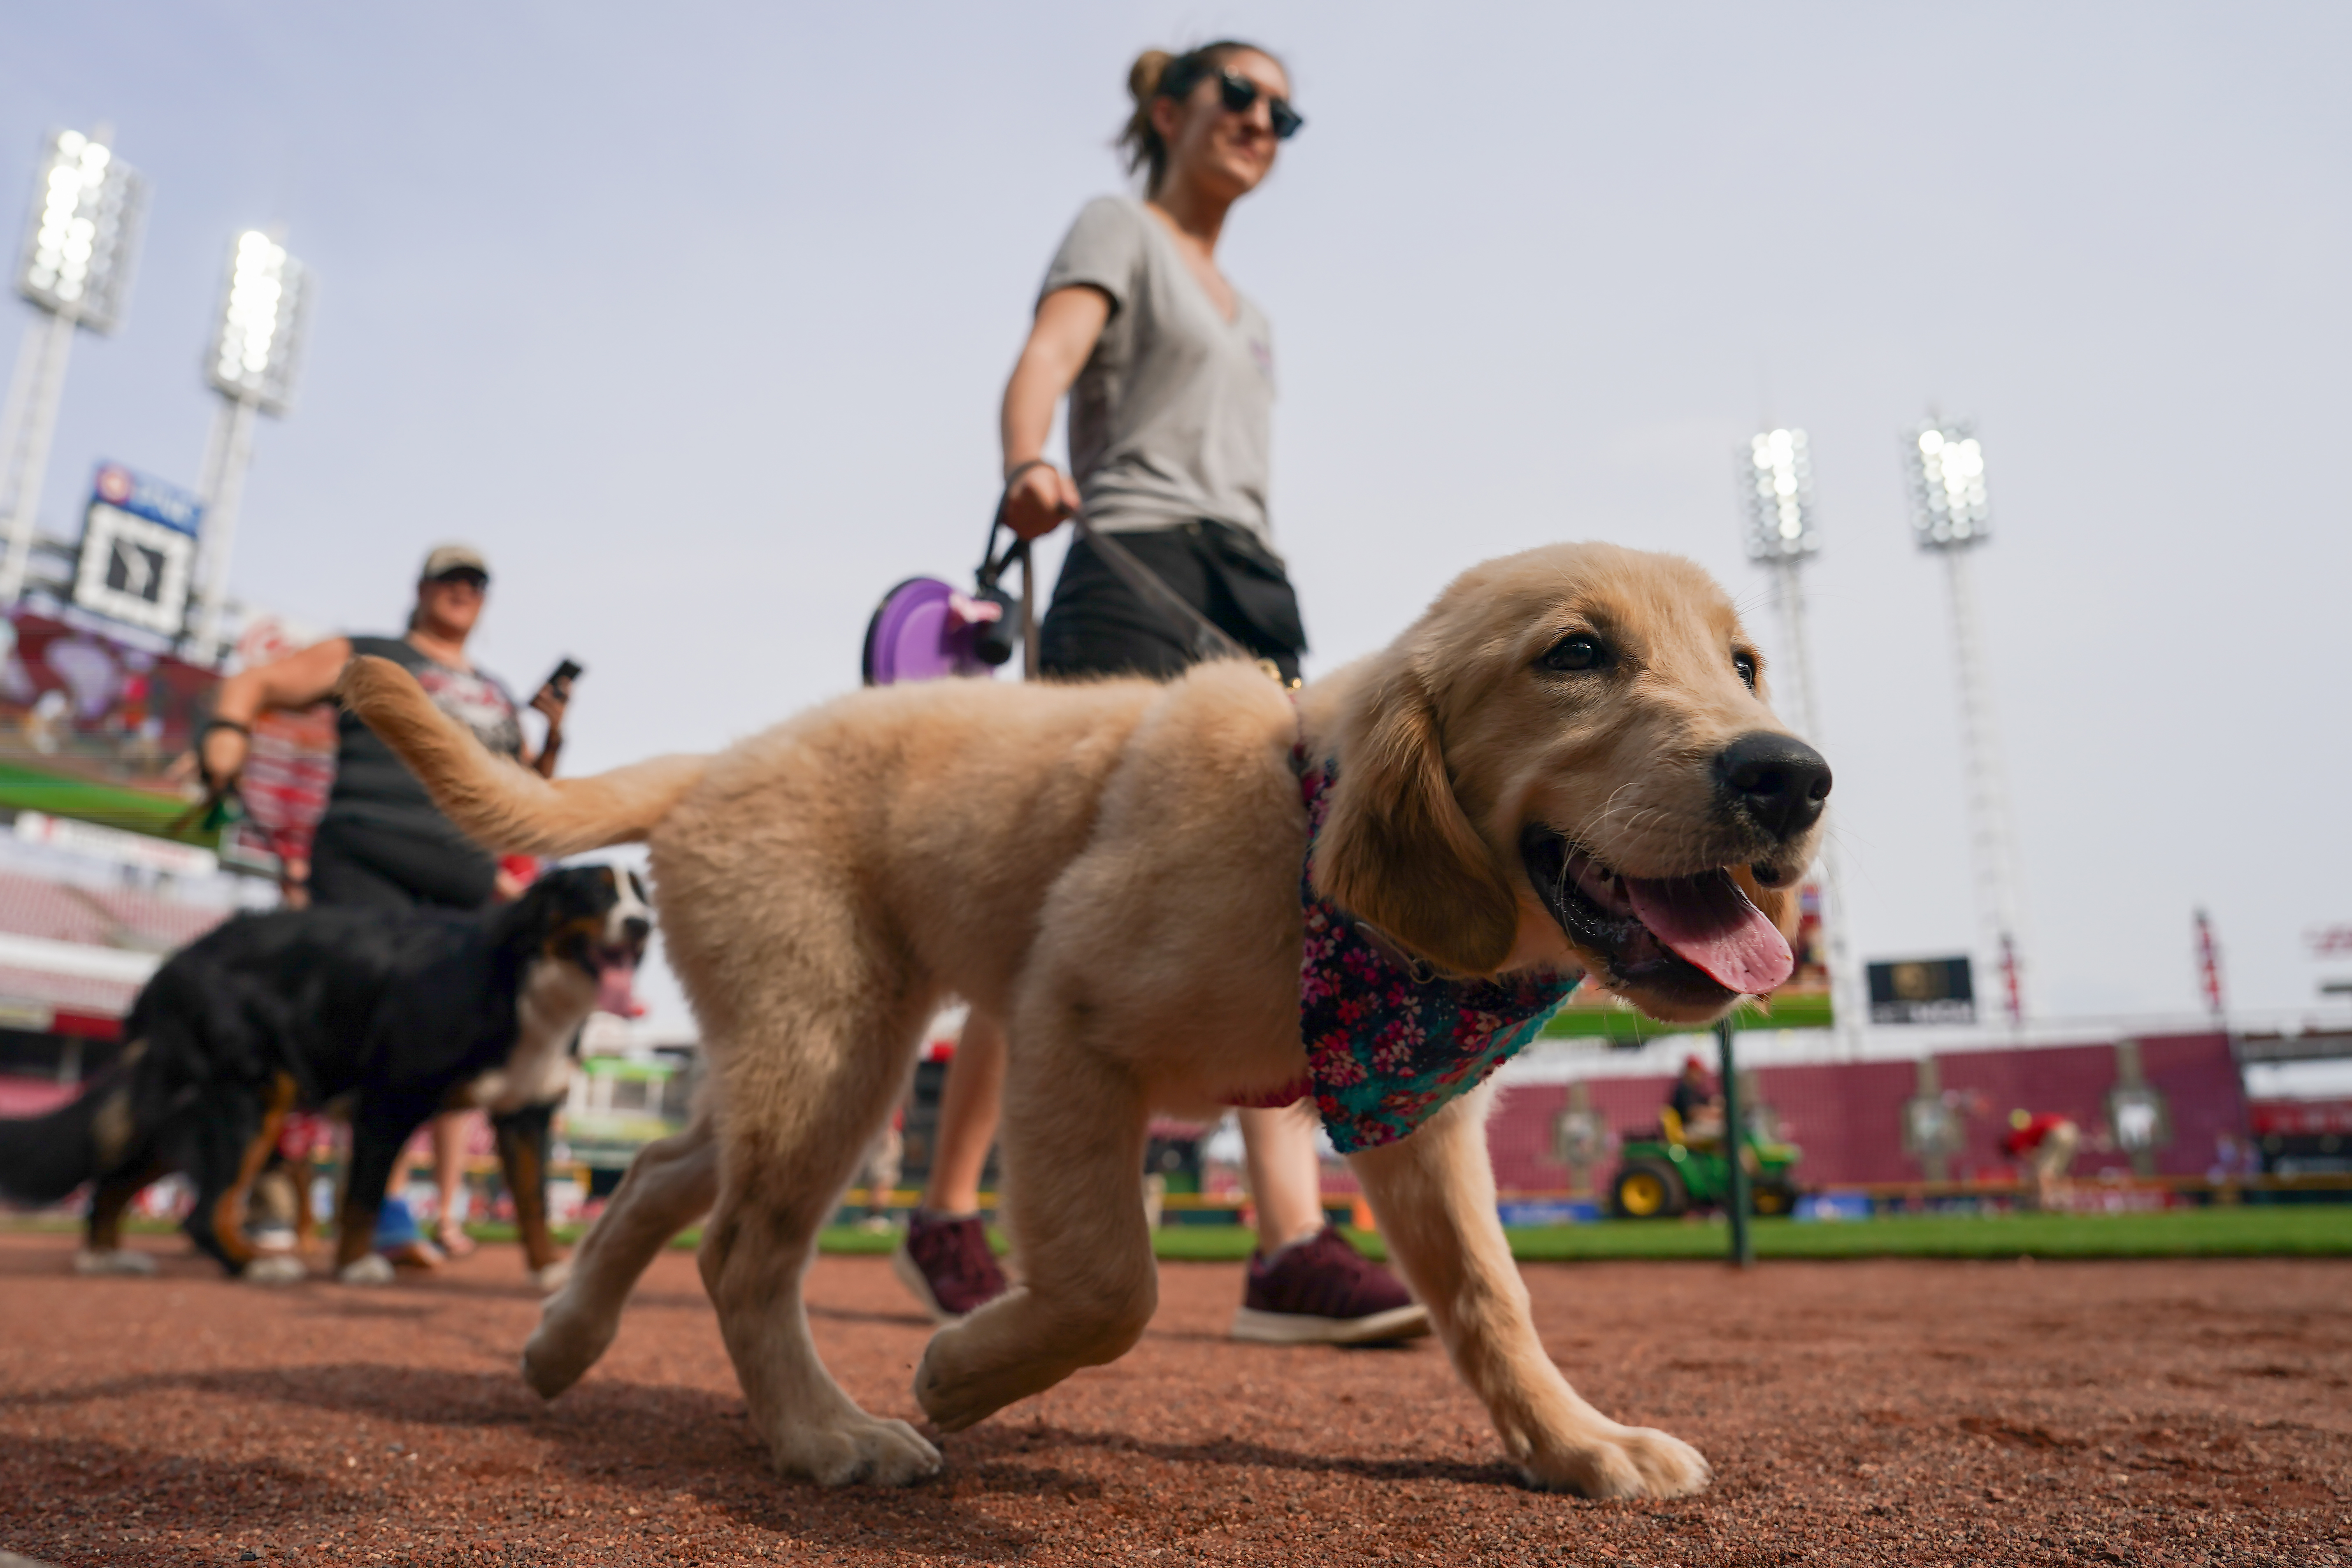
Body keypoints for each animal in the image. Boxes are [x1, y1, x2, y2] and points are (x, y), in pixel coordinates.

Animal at [0, 860, 649, 1288]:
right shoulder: (389, 1101)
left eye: (641, 896)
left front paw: (552, 1271)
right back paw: (259, 1263)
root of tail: (170, 965)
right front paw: (357, 1265)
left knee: (113, 1184)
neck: (530, 983)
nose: (642, 925)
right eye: (597, 894)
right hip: (249, 1097)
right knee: (204, 1210)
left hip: (187, 1112)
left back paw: (106, 1256)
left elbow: (535, 1202)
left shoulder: (526, 1113)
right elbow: (362, 1196)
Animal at [341, 541, 1825, 1495]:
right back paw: (826, 1436)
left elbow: (1488, 1296)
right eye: (1574, 654)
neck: (1308, 833)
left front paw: (1577, 1444)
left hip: (791, 1048)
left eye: (1747, 660)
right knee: (741, 1251)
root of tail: (715, 763)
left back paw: (562, 1342)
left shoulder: (1417, 1115)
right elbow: (1115, 1283)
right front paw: (962, 1371)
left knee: (655, 1168)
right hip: (835, 1042)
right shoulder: (1065, 1018)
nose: (1791, 777)